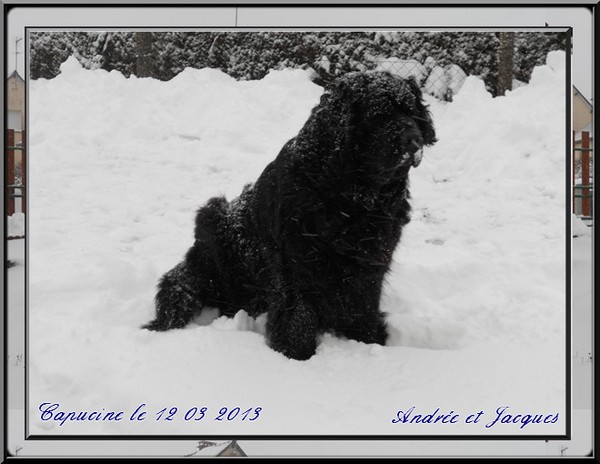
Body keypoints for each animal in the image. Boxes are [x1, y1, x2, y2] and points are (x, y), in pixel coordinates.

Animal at [145, 72, 436, 360]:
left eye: (412, 113)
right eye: (378, 116)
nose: (414, 141)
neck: (352, 197)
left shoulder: (370, 260)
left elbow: (362, 308)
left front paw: (367, 343)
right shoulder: (296, 261)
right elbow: (298, 315)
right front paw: (295, 356)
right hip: (212, 224)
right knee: (184, 285)